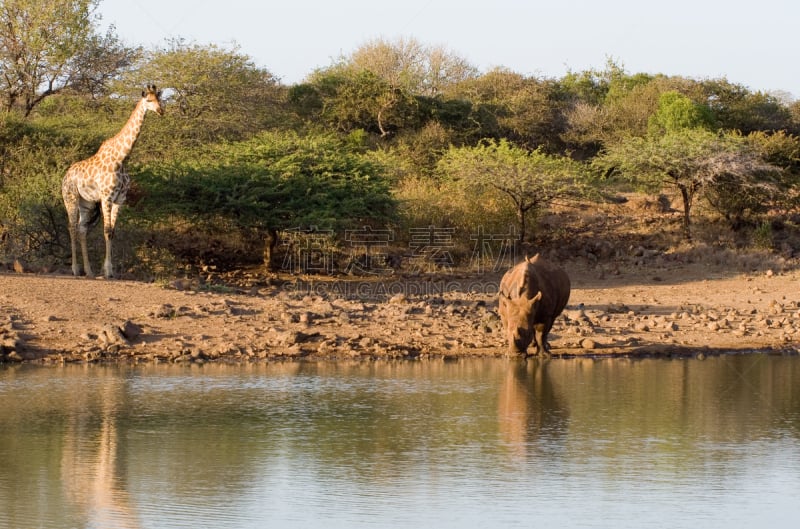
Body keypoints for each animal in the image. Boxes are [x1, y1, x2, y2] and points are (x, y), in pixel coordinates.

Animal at [62, 84, 164, 278]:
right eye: (148, 100)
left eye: (159, 99)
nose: (161, 111)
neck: (121, 158)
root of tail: (65, 176)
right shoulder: (106, 197)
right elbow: (107, 230)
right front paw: (108, 271)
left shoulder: (119, 199)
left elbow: (113, 231)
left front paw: (108, 270)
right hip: (70, 198)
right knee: (71, 227)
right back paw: (75, 269)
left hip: (86, 203)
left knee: (81, 229)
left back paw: (89, 271)